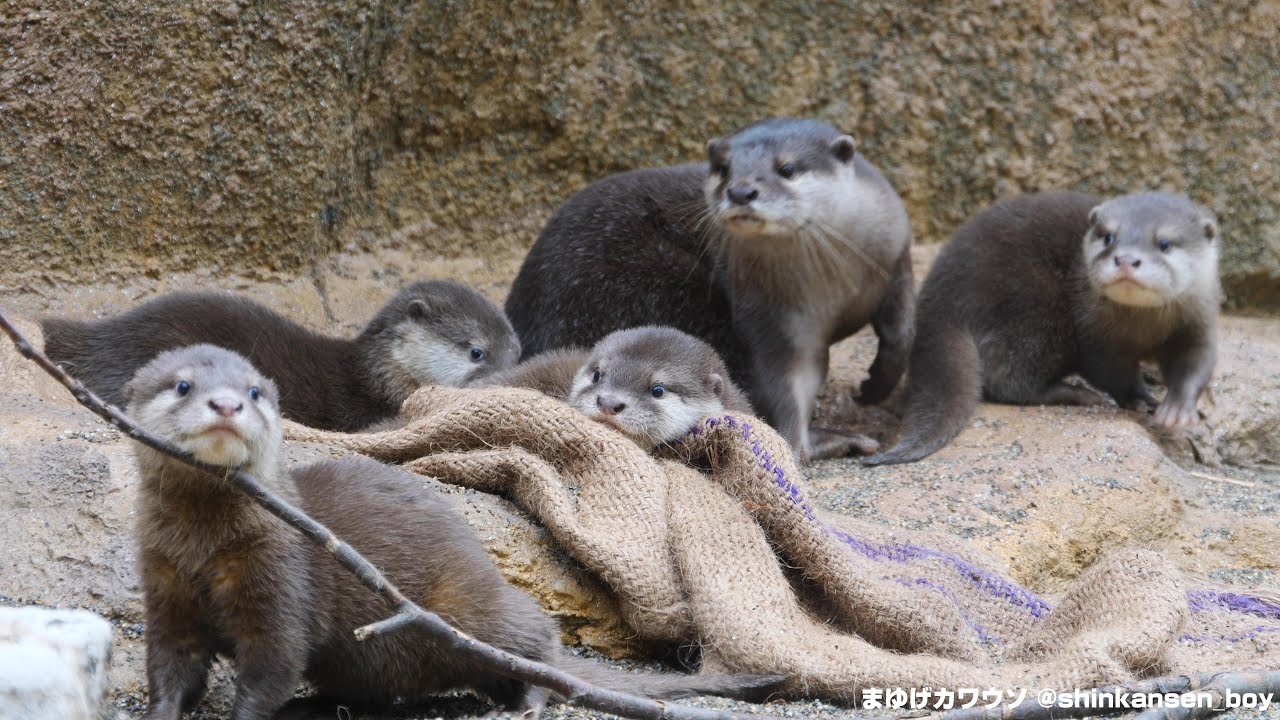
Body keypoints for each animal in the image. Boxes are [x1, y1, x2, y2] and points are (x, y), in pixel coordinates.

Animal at [126, 345, 781, 720]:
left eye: (255, 392)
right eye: (182, 385)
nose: (226, 405)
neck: (205, 554)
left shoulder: (281, 580)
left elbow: (272, 669)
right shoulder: (164, 589)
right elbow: (169, 669)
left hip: (468, 604)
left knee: (537, 637)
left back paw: (527, 702)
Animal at [504, 117, 915, 462]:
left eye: (786, 169)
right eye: (723, 169)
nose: (741, 190)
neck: (832, 280)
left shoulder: (895, 256)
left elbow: (900, 330)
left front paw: (875, 386)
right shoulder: (770, 319)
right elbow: (785, 385)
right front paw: (803, 446)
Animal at [864, 191, 1220, 466]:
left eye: (1164, 243)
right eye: (1109, 237)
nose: (1126, 259)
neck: (1144, 328)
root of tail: (942, 292)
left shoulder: (1198, 320)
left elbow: (1198, 363)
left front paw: (1178, 409)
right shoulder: (1096, 334)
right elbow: (1109, 371)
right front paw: (1140, 398)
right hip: (1038, 309)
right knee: (1007, 378)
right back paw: (1075, 393)